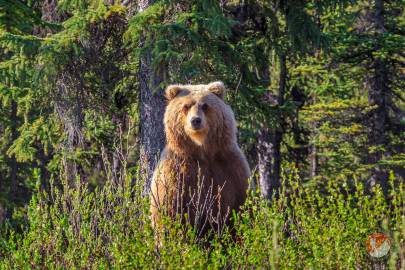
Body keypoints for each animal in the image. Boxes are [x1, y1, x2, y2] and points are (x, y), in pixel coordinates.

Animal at [150, 80, 248, 236]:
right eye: (186, 106)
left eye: (205, 105)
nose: (195, 120)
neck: (202, 151)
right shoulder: (177, 172)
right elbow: (170, 210)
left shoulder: (229, 168)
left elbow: (240, 206)